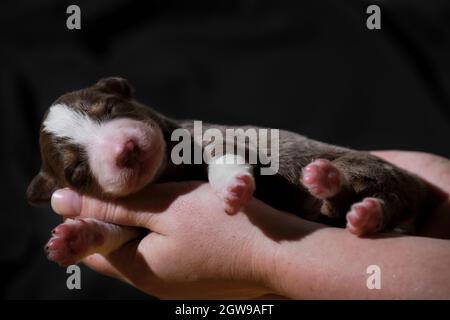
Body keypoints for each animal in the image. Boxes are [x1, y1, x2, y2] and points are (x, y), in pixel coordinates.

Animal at [28, 78, 432, 268]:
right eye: (76, 171)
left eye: (111, 108)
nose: (125, 149)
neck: (166, 170)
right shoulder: (135, 220)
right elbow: (116, 232)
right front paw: (74, 239)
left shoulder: (212, 138)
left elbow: (224, 158)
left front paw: (233, 188)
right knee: (365, 206)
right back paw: (353, 207)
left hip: (378, 171)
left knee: (374, 191)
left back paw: (331, 182)